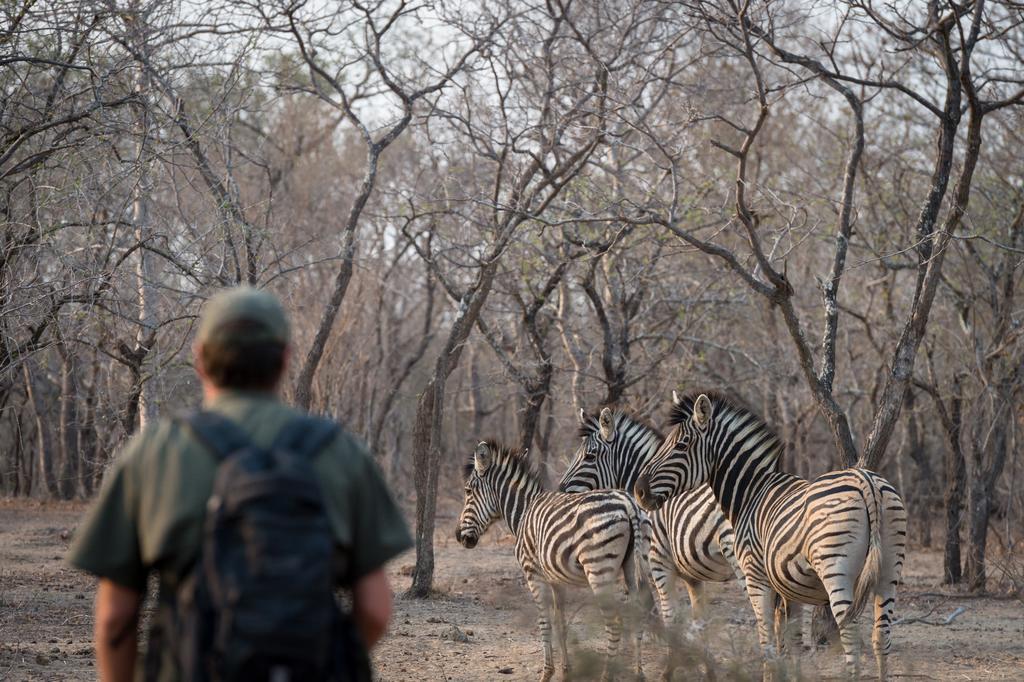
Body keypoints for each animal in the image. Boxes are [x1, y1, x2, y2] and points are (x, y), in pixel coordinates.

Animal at [454, 438, 647, 675]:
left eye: (467, 491)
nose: (459, 537)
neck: (524, 512)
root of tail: (628, 503)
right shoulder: (556, 578)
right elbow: (560, 622)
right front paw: (566, 670)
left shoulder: (532, 572)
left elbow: (544, 622)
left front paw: (547, 672)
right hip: (631, 565)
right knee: (638, 616)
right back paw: (639, 673)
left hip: (598, 569)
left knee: (614, 623)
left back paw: (606, 675)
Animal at [557, 405, 749, 622]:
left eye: (590, 457)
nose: (559, 492)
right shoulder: (689, 576)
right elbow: (698, 617)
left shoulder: (657, 565)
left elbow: (666, 616)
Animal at [634, 391, 909, 675]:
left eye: (682, 445)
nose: (639, 490)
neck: (750, 493)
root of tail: (866, 481)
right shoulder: (788, 589)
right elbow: (791, 642)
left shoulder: (755, 576)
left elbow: (765, 640)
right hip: (890, 570)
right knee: (881, 636)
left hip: (836, 570)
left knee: (851, 634)